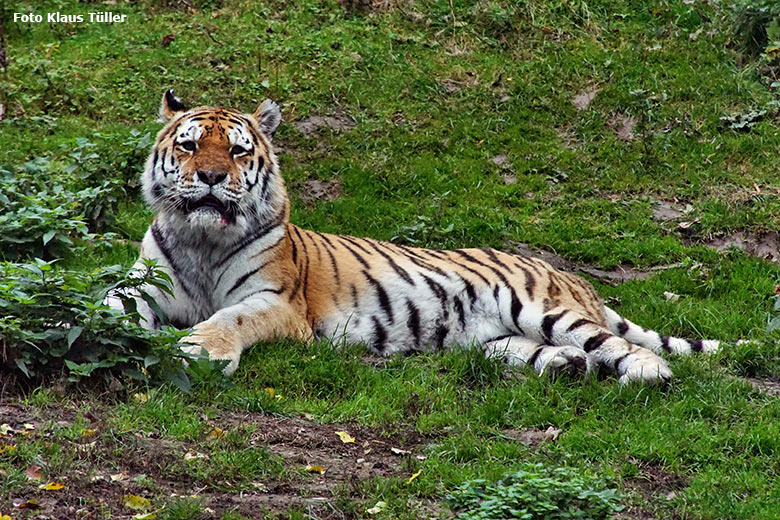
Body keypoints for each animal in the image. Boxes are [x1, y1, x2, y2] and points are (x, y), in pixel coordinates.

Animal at [114, 92, 720, 386]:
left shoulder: (277, 303)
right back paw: (567, 368)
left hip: (541, 309)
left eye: (238, 151)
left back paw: (648, 374)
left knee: (617, 344)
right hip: (494, 340)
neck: (201, 242)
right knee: (551, 352)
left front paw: (200, 350)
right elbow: (113, 305)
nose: (212, 177)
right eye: (190, 145)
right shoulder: (143, 283)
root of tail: (569, 275)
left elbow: (231, 318)